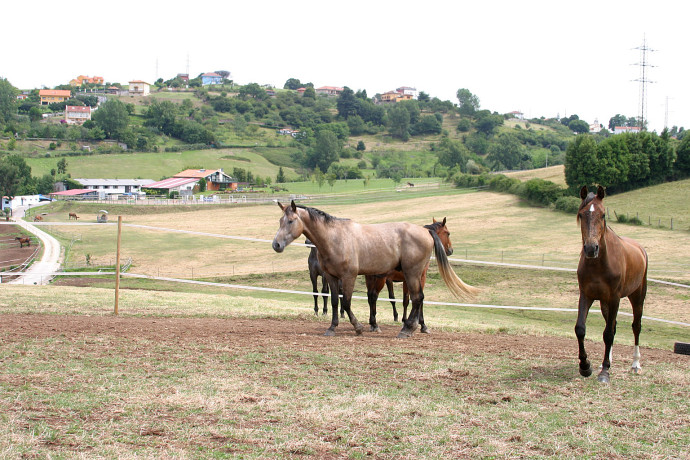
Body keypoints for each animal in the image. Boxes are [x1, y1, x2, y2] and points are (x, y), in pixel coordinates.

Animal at [272, 201, 476, 338]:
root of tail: (425, 232)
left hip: (413, 274)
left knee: (417, 298)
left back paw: (407, 329)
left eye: (291, 221)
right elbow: (336, 302)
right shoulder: (331, 277)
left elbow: (346, 302)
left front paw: (358, 327)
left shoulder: (349, 276)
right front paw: (332, 327)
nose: (276, 244)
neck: (335, 238)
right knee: (415, 299)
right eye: (280, 220)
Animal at [572, 185, 644, 382]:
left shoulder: (615, 298)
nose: (591, 248)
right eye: (581, 214)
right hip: (604, 302)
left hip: (637, 296)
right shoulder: (586, 295)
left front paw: (604, 372)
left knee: (636, 327)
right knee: (613, 326)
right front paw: (585, 366)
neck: (599, 264)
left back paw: (635, 364)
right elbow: (581, 329)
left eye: (603, 214)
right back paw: (607, 361)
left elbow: (608, 334)